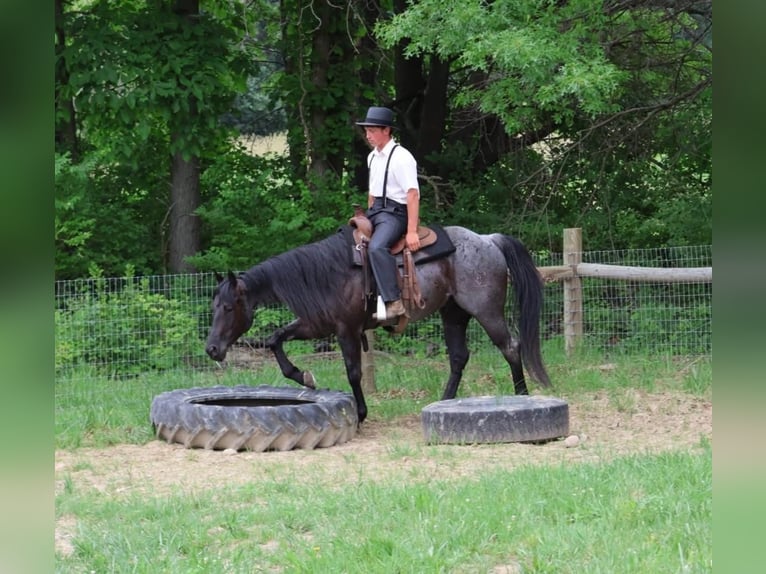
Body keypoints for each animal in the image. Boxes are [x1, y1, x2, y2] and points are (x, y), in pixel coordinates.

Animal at [205, 225, 552, 423]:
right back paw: (445, 401)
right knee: (458, 357)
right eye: (213, 306)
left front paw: (360, 414)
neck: (328, 273)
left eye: (228, 307)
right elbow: (276, 339)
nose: (211, 349)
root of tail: (488, 240)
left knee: (511, 347)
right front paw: (303, 376)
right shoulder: (317, 325)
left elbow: (353, 372)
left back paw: (521, 398)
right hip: (453, 314)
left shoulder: (346, 329)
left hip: (486, 311)